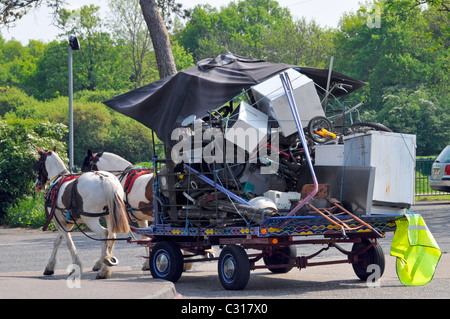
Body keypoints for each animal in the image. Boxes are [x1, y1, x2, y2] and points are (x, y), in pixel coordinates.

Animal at [34, 148, 130, 280]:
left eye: (39, 163)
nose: (37, 184)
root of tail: (104, 178)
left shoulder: (58, 221)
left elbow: (68, 242)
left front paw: (76, 265)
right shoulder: (67, 222)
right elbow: (58, 241)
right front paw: (49, 267)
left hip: (90, 219)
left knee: (104, 233)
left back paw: (103, 270)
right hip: (109, 216)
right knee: (112, 236)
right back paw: (105, 264)